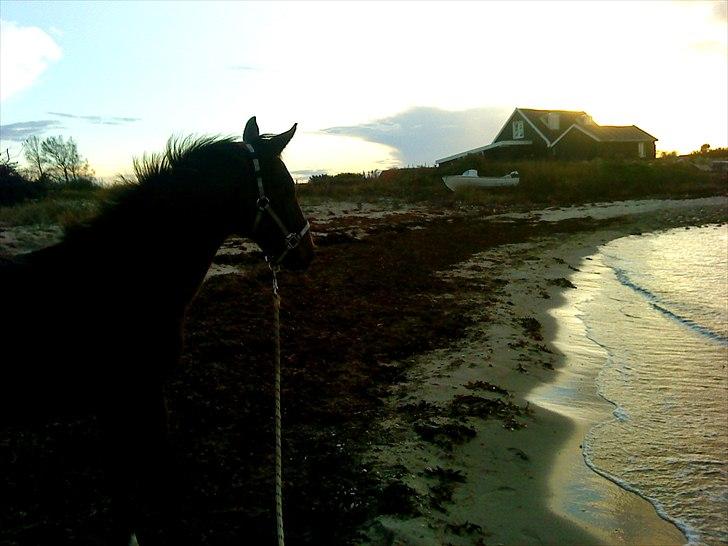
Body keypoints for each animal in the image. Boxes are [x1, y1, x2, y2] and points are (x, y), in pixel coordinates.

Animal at [0, 117, 312, 540]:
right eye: (285, 188)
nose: (308, 253)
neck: (124, 280)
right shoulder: (135, 394)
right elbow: (155, 481)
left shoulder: (116, 402)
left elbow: (125, 484)